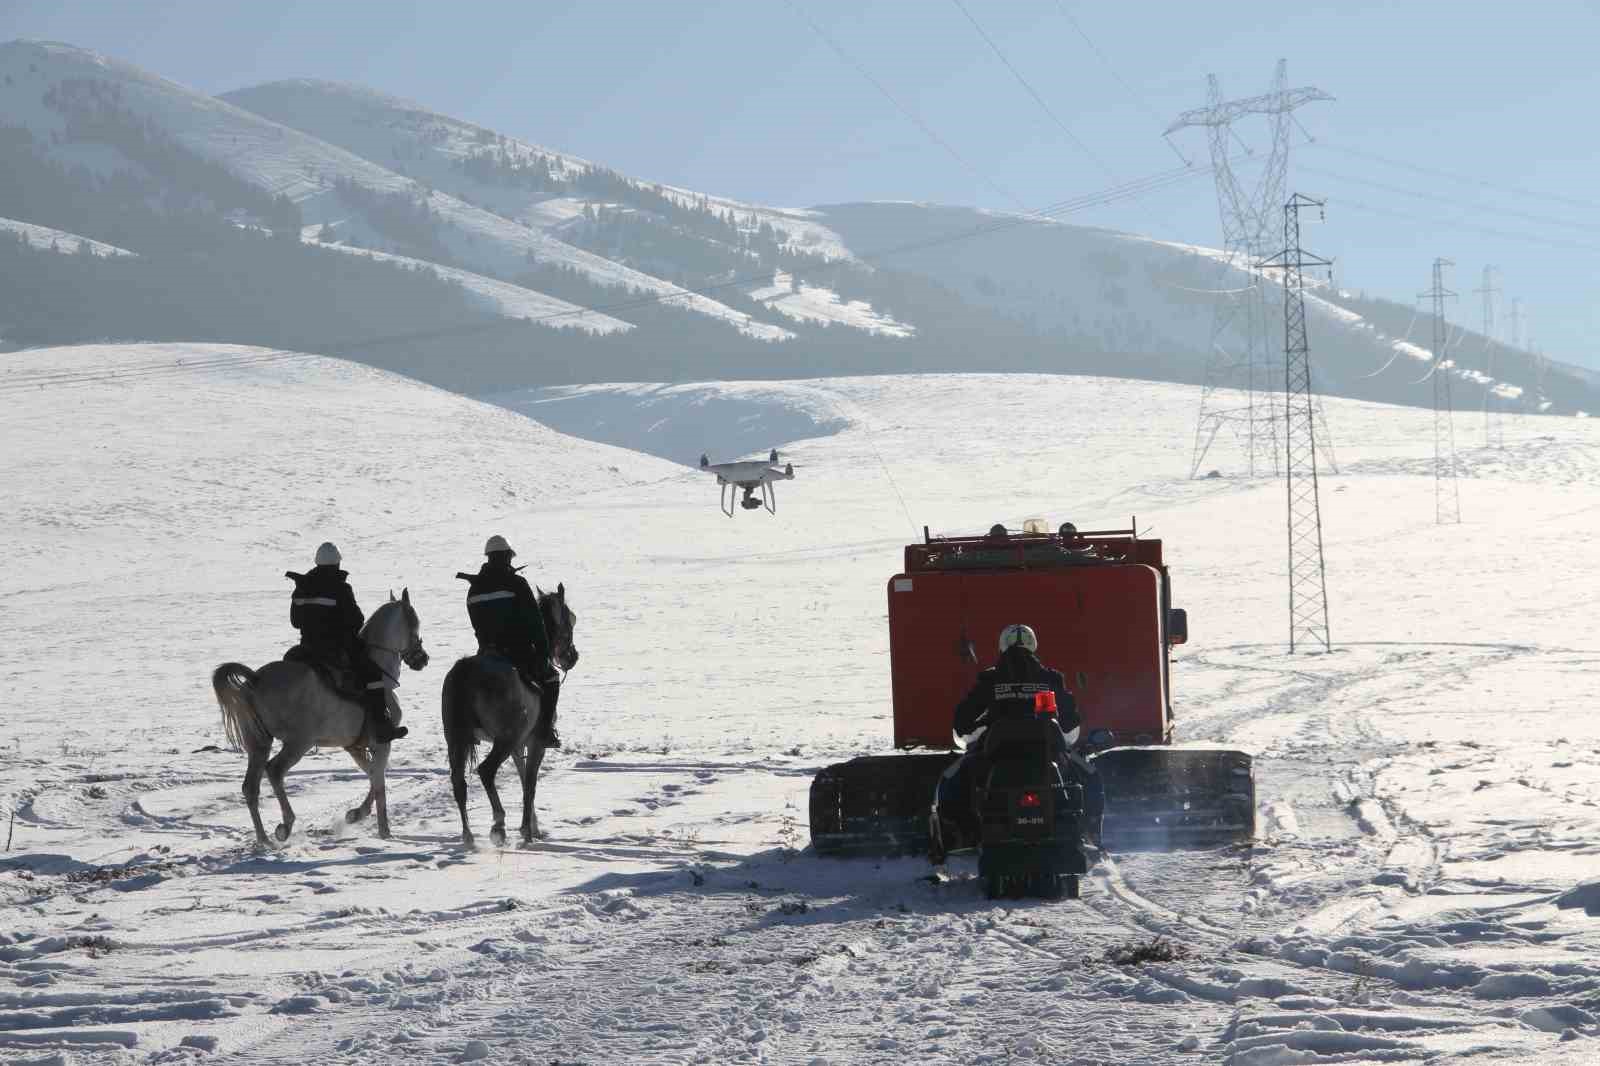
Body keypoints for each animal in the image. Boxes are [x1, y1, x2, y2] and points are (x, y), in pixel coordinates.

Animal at [209, 585, 428, 845]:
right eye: (415, 623)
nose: (423, 658)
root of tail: (256, 679)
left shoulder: (354, 746)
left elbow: (373, 775)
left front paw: (357, 813)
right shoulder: (381, 743)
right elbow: (379, 781)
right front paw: (384, 831)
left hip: (259, 743)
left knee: (250, 787)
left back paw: (264, 840)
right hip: (298, 743)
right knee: (274, 771)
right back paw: (285, 826)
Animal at [441, 582, 579, 845]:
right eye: (570, 619)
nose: (572, 656)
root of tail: (467, 669)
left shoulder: (519, 746)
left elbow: (524, 779)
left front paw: (534, 826)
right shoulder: (534, 742)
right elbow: (530, 784)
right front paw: (527, 830)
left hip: (456, 739)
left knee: (458, 782)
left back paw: (468, 835)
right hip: (505, 739)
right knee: (486, 771)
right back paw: (498, 824)